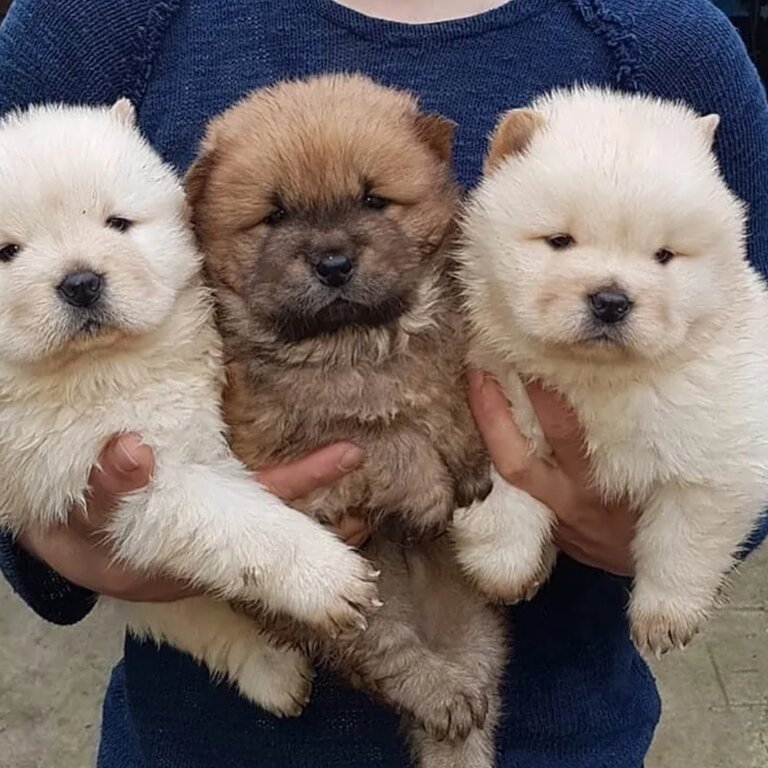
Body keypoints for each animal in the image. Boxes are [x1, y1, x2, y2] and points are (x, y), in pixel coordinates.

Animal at [190, 73, 508, 768]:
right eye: (275, 215)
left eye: (373, 200)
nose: (333, 262)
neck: (356, 343)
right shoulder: (288, 460)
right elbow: (381, 436)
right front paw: (431, 486)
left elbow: (449, 398)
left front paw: (471, 462)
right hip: (355, 599)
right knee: (390, 657)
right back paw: (441, 693)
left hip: (472, 627)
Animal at [452, 87, 768, 656]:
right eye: (559, 241)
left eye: (664, 255)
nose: (611, 300)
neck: (594, 380)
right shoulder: (489, 400)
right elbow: (501, 501)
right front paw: (506, 571)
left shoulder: (721, 457)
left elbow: (683, 540)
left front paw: (664, 619)